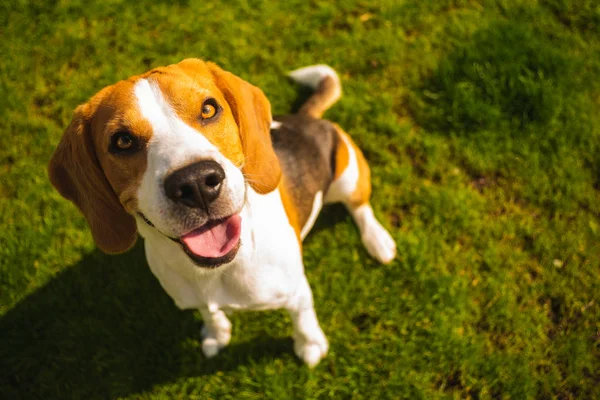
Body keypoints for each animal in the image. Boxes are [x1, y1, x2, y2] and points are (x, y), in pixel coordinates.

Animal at [49, 57, 396, 368]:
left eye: (208, 109)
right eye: (122, 141)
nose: (195, 183)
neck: (219, 269)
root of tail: (306, 117)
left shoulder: (296, 291)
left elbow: (303, 319)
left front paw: (310, 345)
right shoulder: (196, 298)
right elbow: (211, 313)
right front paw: (217, 334)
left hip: (348, 176)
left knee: (360, 206)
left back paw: (378, 241)